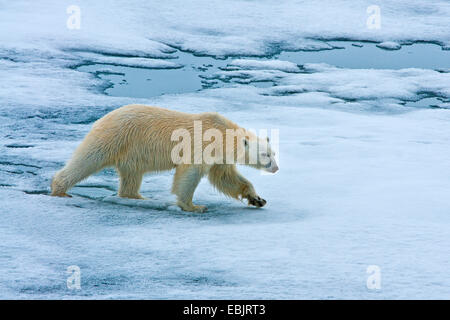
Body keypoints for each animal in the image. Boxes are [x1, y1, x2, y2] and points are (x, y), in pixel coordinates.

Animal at [51, 104, 278, 211]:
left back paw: (137, 196)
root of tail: (104, 117)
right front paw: (193, 206)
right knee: (87, 159)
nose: (275, 168)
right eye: (265, 154)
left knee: (132, 175)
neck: (221, 133)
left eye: (274, 153)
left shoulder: (219, 156)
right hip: (115, 136)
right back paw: (60, 189)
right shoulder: (202, 145)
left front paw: (257, 199)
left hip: (131, 152)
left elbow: (225, 177)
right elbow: (189, 173)